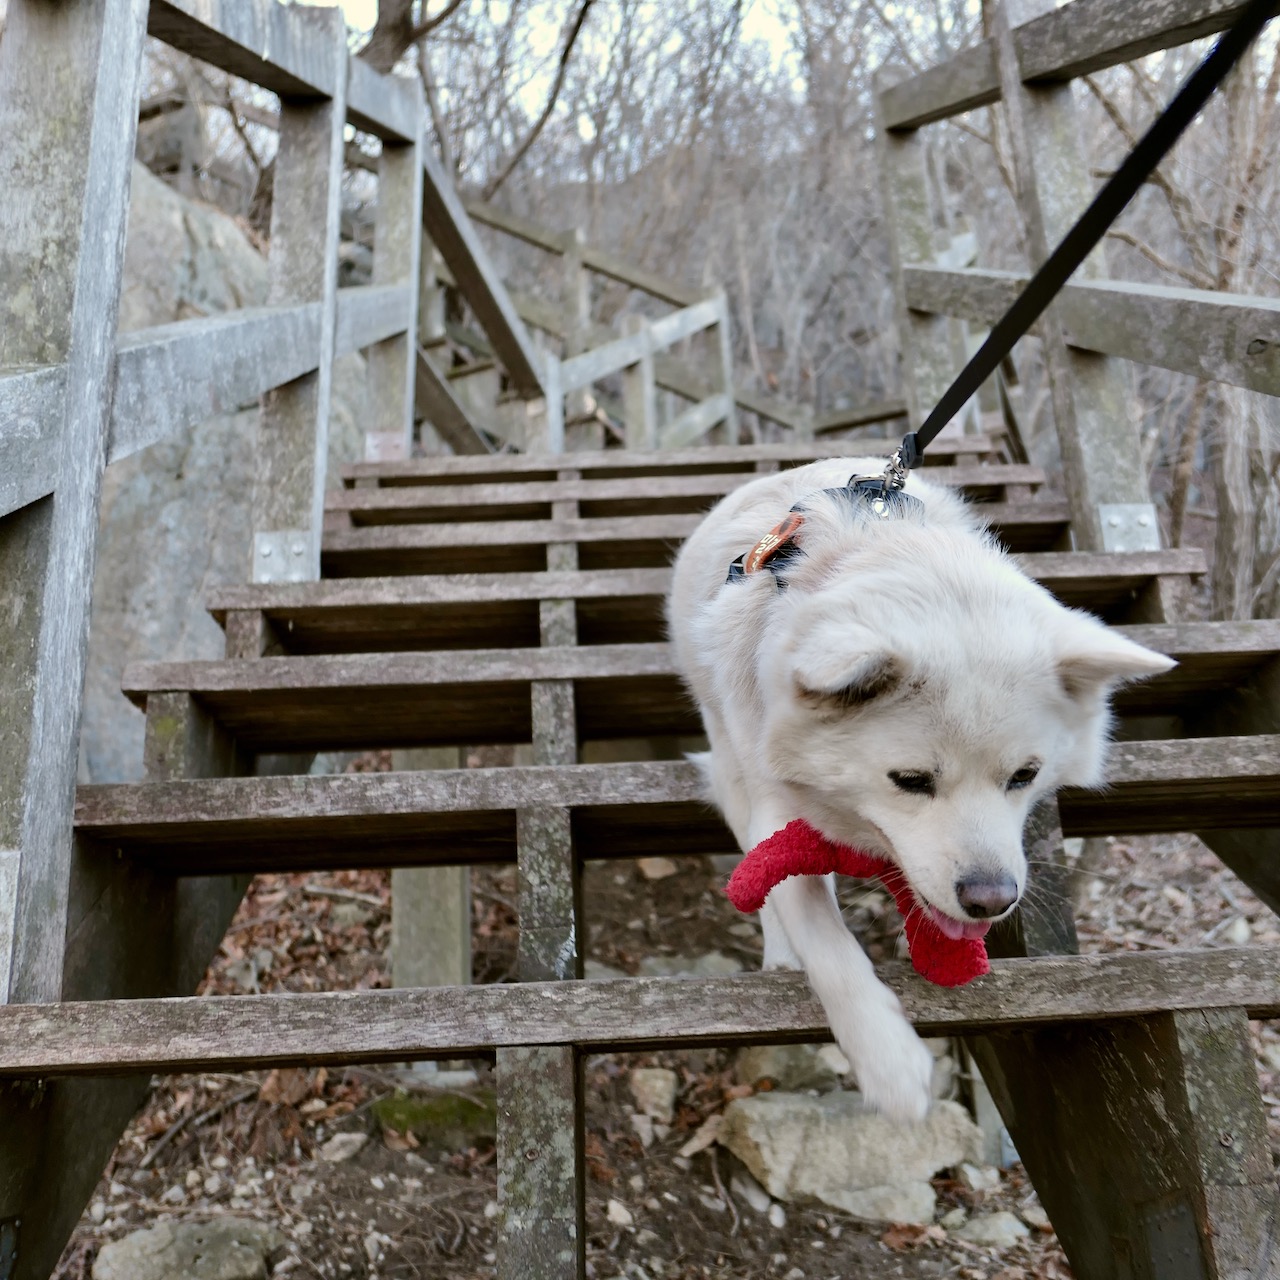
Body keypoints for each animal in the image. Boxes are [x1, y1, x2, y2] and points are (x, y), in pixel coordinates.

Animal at [665, 460, 1172, 1121]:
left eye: (1024, 776)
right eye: (910, 781)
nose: (990, 901)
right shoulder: (774, 809)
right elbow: (823, 937)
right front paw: (889, 1062)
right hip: (727, 756)